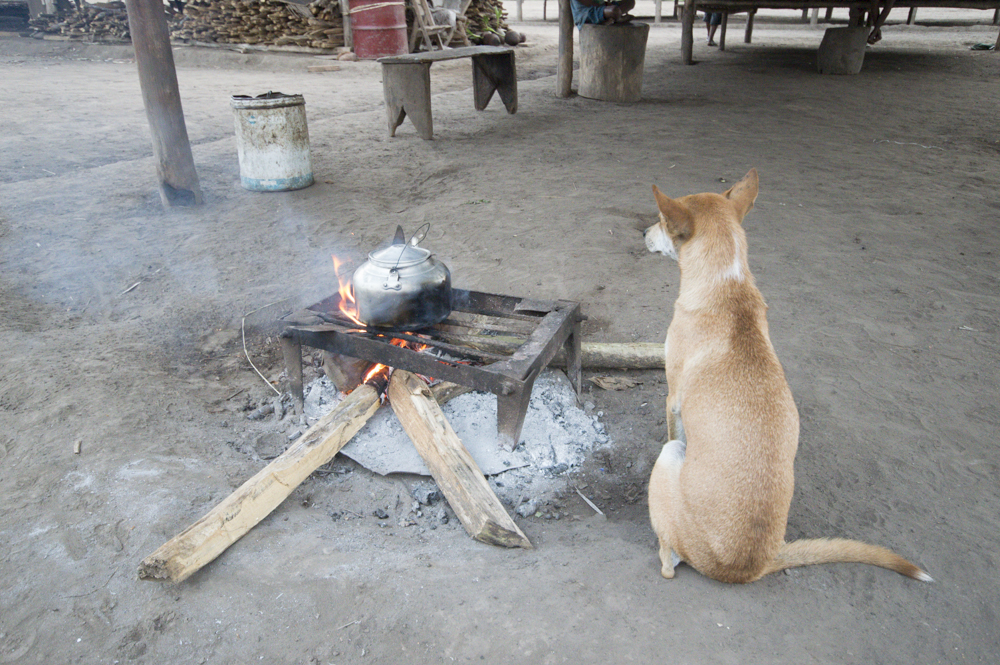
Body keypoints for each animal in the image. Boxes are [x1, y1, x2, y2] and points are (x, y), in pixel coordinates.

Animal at [644, 170, 932, 580]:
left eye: (661, 221)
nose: (643, 233)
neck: (726, 282)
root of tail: (753, 565)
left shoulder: (672, 401)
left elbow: (671, 423)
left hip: (670, 461)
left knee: (669, 563)